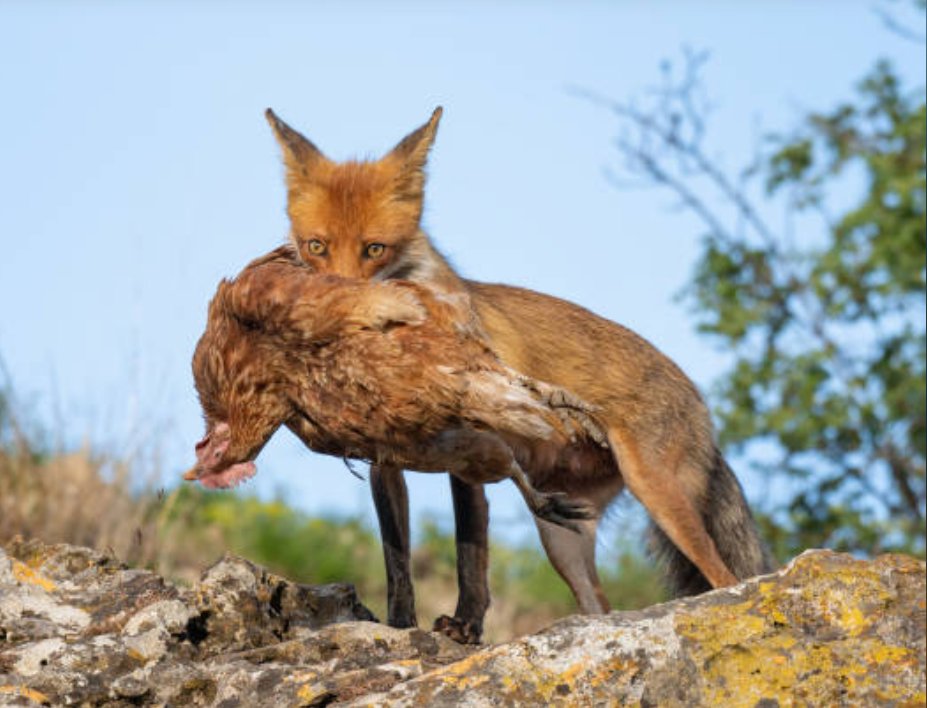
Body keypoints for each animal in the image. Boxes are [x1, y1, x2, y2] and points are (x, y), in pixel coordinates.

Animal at [264, 106, 774, 644]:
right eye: (316, 246)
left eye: (374, 249)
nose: (338, 306)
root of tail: (701, 403)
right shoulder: (386, 462)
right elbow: (396, 557)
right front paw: (401, 626)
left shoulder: (471, 447)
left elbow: (470, 549)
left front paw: (465, 627)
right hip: (562, 535)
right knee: (602, 607)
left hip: (658, 495)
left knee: (726, 578)